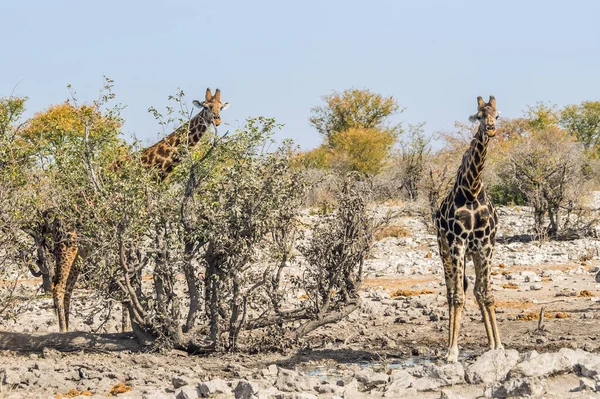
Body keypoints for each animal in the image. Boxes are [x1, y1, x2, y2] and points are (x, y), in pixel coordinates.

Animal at [46, 88, 230, 334]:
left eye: (221, 106)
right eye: (207, 107)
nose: (217, 120)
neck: (150, 170)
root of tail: (55, 219)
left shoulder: (137, 228)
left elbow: (132, 274)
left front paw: (129, 326)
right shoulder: (132, 227)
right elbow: (131, 274)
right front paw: (133, 326)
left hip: (83, 248)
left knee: (68, 285)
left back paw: (68, 327)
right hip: (67, 243)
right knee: (57, 285)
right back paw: (62, 331)